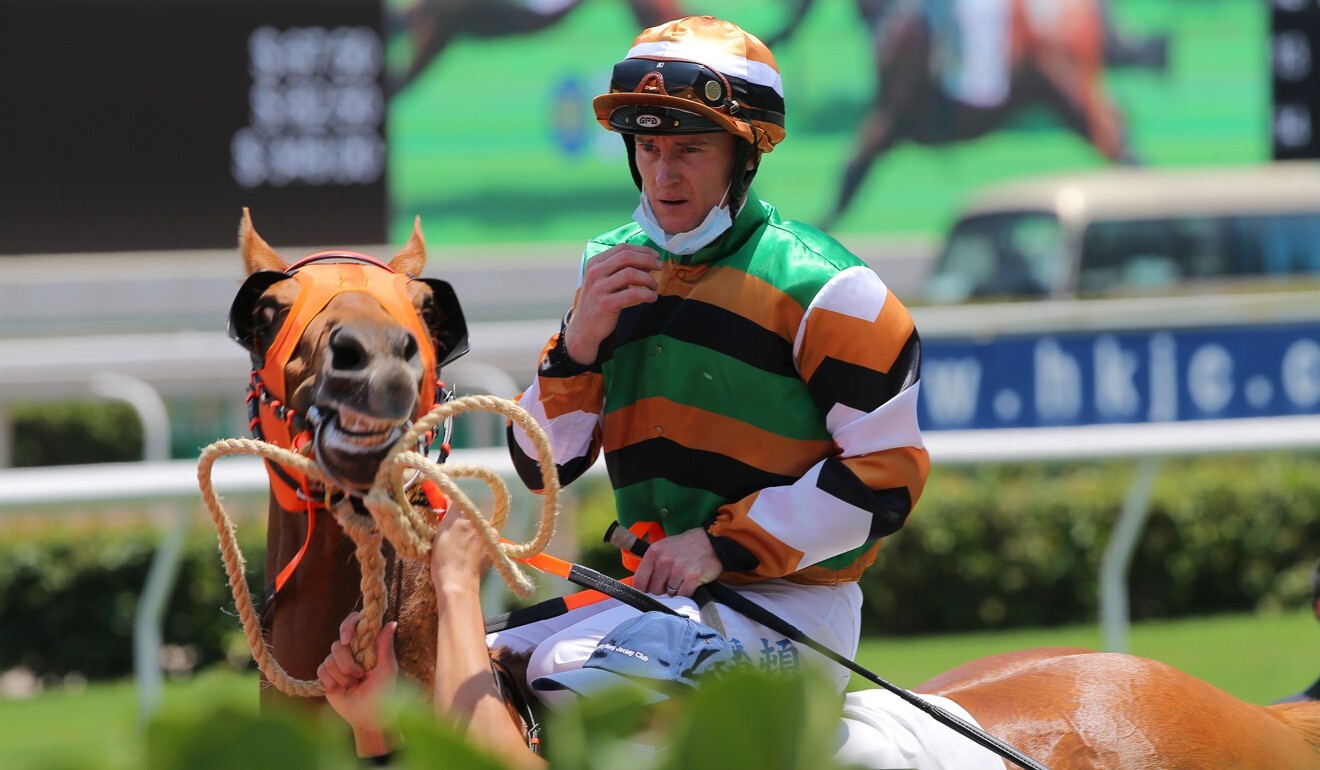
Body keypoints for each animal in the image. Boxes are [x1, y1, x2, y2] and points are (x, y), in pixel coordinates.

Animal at [807, 0, 1140, 231]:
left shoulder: (892, 107)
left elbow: (852, 170)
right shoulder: (897, 120)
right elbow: (854, 174)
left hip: (1067, 92)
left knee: (1114, 137)